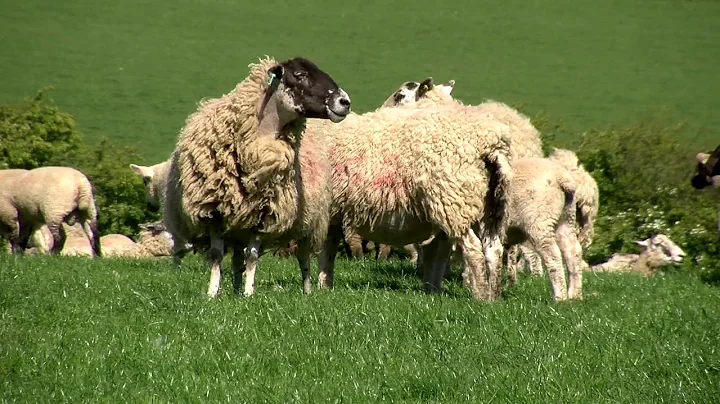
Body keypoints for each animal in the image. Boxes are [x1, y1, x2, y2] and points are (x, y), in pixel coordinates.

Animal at [163, 56, 351, 299]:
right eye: (299, 74)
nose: (345, 101)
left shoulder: (265, 214)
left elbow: (252, 257)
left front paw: (248, 293)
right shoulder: (214, 211)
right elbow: (216, 255)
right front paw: (213, 293)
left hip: (308, 221)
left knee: (303, 257)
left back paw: (306, 290)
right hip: (237, 228)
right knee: (236, 259)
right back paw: (234, 288)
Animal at [311, 98, 515, 301]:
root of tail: (492, 141)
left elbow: (325, 251)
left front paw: (321, 288)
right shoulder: (333, 214)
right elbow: (328, 251)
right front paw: (325, 286)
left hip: (453, 201)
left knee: (473, 250)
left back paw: (479, 295)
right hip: (488, 205)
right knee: (492, 249)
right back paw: (490, 297)